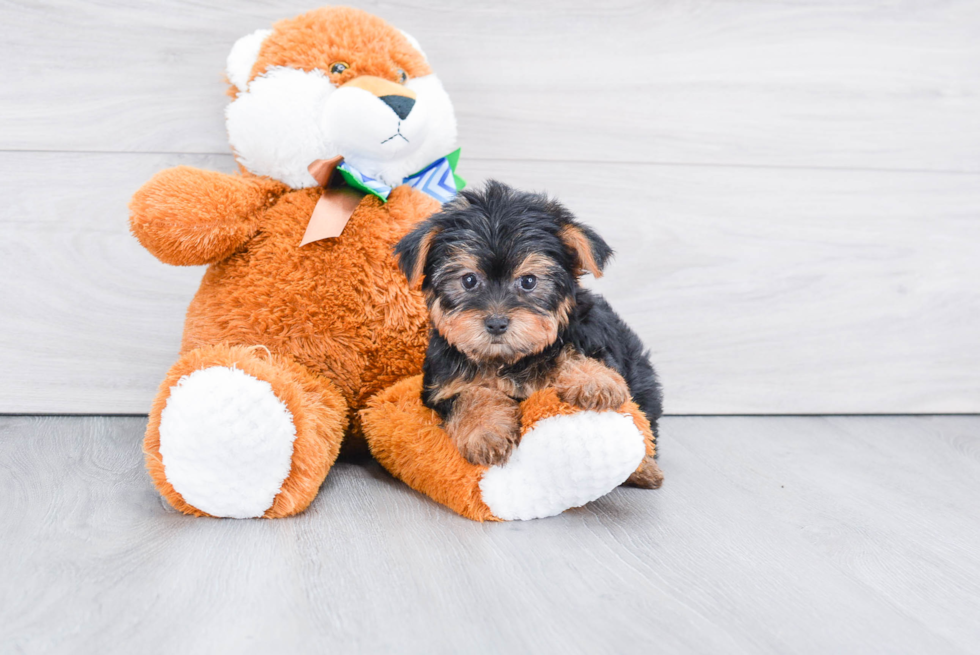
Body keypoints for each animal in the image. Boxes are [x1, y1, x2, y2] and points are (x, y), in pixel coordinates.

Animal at [394, 179, 664, 486]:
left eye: (529, 281)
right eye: (469, 280)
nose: (496, 323)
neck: (508, 360)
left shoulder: (585, 333)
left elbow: (569, 350)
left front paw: (593, 381)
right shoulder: (443, 385)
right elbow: (470, 394)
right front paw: (485, 431)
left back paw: (644, 468)